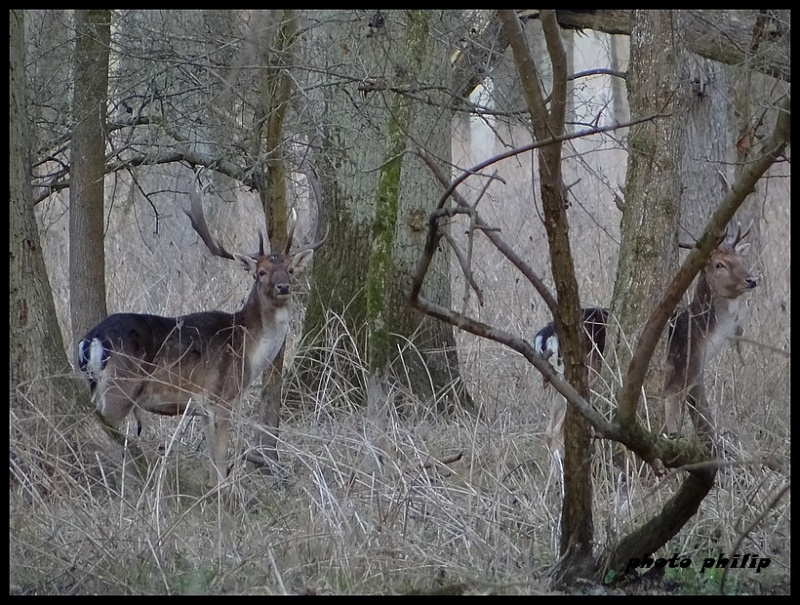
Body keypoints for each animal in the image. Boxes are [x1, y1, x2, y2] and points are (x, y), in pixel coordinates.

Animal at [76, 175, 318, 482]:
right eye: (261, 272)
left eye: (291, 270)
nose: (284, 287)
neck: (246, 347)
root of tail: (92, 340)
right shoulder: (221, 398)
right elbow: (220, 463)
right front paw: (223, 492)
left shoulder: (202, 409)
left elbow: (213, 461)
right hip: (119, 389)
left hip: (96, 385)